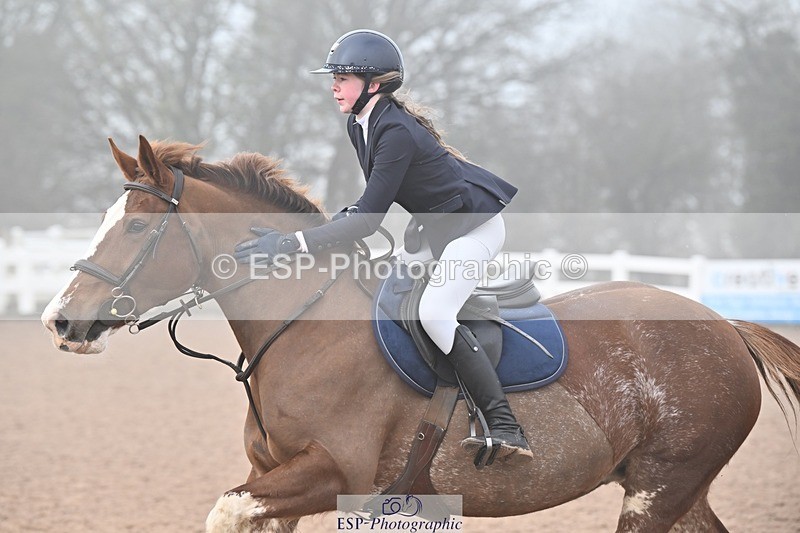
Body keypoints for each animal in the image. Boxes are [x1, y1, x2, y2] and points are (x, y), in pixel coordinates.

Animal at [42, 136, 800, 532]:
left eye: (137, 227)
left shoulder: (331, 473)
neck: (303, 328)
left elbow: (225, 511)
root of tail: (727, 327)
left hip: (659, 488)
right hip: (674, 489)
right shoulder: (272, 477)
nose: (61, 320)